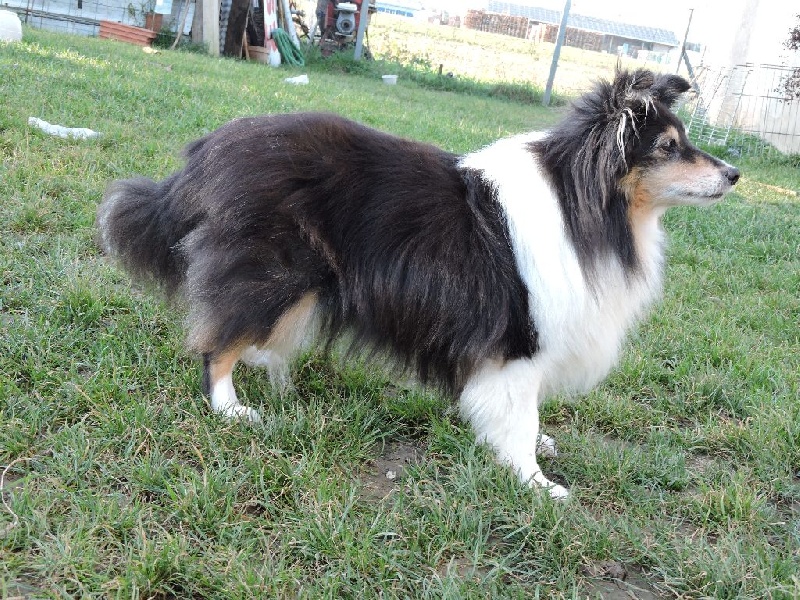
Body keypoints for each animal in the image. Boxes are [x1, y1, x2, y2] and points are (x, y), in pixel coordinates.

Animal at [94, 69, 736, 496]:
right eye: (669, 147)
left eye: (684, 141)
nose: (734, 173)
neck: (585, 206)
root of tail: (208, 152)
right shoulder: (520, 342)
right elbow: (518, 416)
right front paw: (536, 482)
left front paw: (538, 453)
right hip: (273, 272)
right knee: (217, 341)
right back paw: (232, 408)